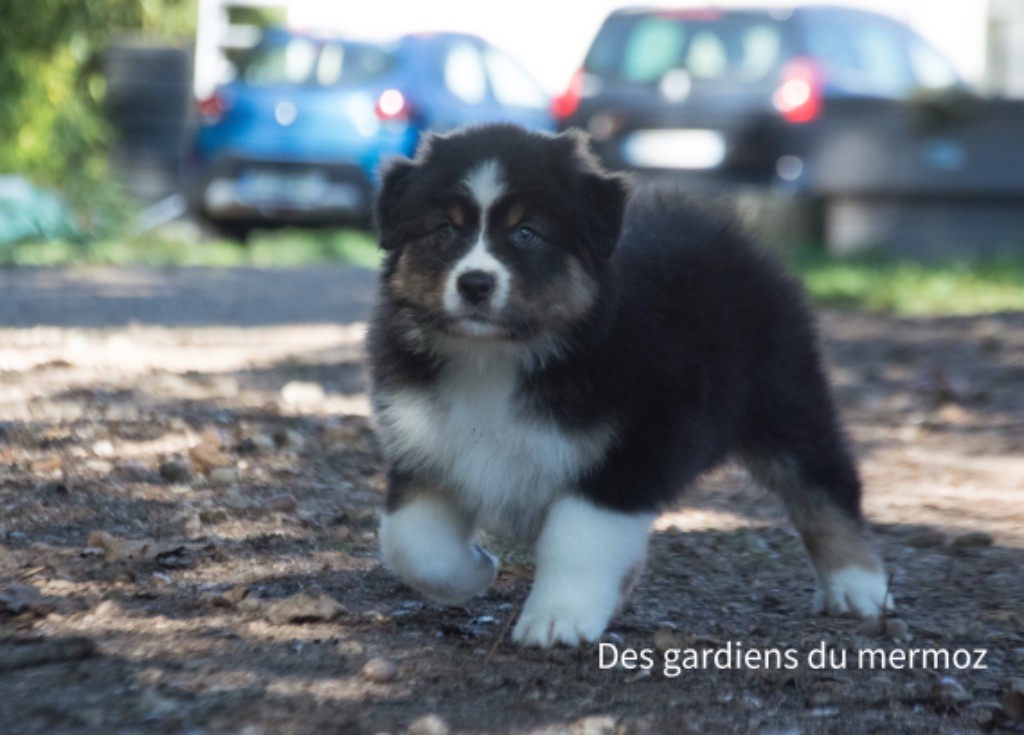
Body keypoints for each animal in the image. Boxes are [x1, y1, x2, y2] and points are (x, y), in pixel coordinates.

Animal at [367, 123, 892, 648]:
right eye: (444, 230)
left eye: (527, 233)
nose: (475, 284)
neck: (497, 358)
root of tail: (722, 231)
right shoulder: (427, 442)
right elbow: (410, 544)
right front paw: (478, 569)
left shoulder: (628, 453)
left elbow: (578, 539)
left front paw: (557, 619)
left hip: (785, 400)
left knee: (825, 487)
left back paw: (857, 587)